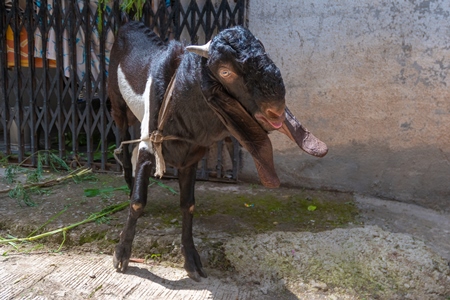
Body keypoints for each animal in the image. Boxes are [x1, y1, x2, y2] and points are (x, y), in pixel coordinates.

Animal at [109, 21, 326, 282]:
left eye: (265, 52)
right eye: (225, 72)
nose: (276, 110)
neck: (177, 97)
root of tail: (131, 24)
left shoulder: (190, 158)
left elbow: (188, 205)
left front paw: (192, 261)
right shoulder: (149, 143)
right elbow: (138, 202)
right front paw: (121, 254)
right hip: (117, 103)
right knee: (124, 149)